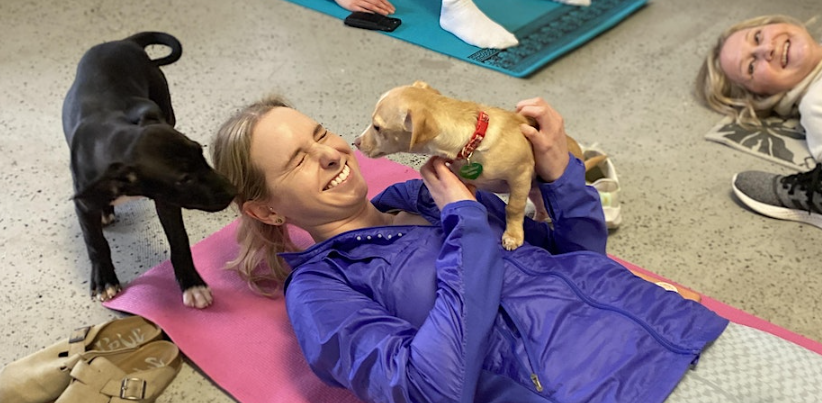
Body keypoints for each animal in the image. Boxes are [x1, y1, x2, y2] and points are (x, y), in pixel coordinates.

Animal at [62, 32, 237, 310]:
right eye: (184, 179)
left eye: (200, 152)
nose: (233, 190)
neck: (115, 138)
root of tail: (124, 41)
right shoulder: (83, 204)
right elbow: (95, 243)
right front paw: (104, 280)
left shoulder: (167, 202)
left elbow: (179, 241)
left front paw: (192, 284)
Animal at [358, 81, 600, 251]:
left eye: (377, 127)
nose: (356, 142)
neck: (473, 141)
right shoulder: (469, 183)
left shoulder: (520, 176)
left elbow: (513, 208)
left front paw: (513, 236)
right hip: (534, 191)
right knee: (540, 206)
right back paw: (539, 219)